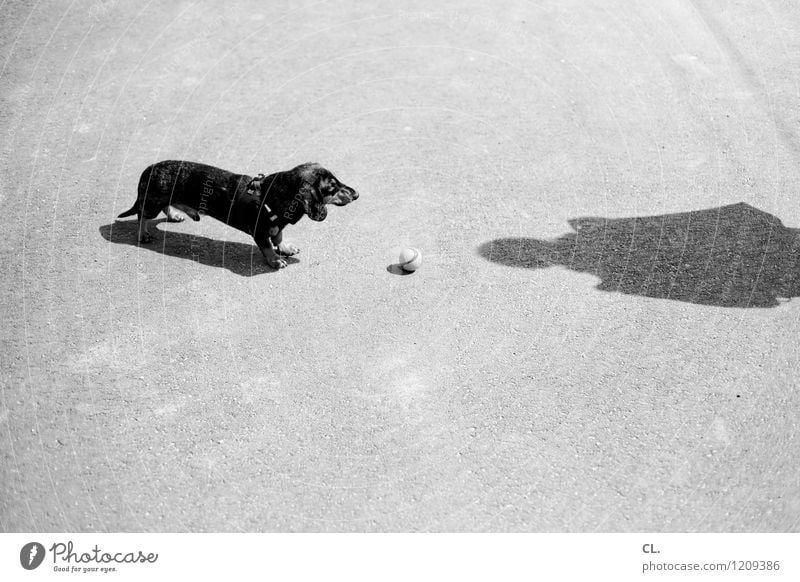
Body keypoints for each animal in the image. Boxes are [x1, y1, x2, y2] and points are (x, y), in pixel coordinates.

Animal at [116, 160, 360, 270]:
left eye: (338, 182)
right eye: (332, 188)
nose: (357, 194)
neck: (272, 195)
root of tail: (150, 168)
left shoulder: (277, 226)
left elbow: (278, 236)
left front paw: (285, 247)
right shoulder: (259, 232)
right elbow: (268, 246)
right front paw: (275, 260)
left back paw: (175, 215)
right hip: (151, 203)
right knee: (141, 215)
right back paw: (143, 234)